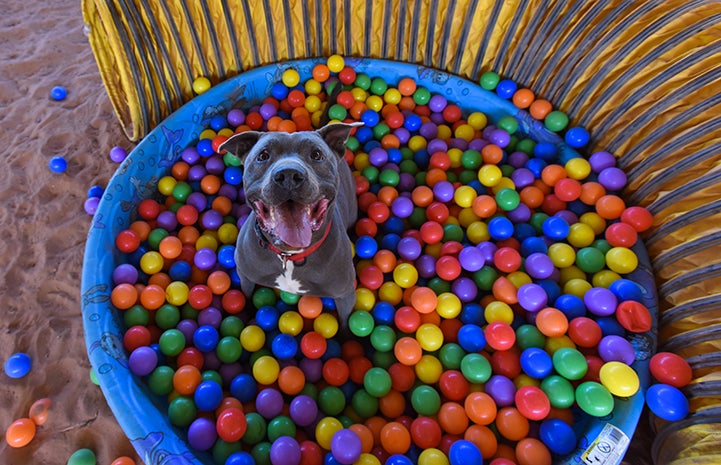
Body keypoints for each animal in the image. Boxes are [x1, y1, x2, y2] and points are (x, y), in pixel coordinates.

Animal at [217, 123, 358, 326]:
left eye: (316, 154)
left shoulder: (345, 295)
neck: (289, 256)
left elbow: (346, 322)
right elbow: (247, 295)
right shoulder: (245, 276)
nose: (289, 174)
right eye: (263, 155)